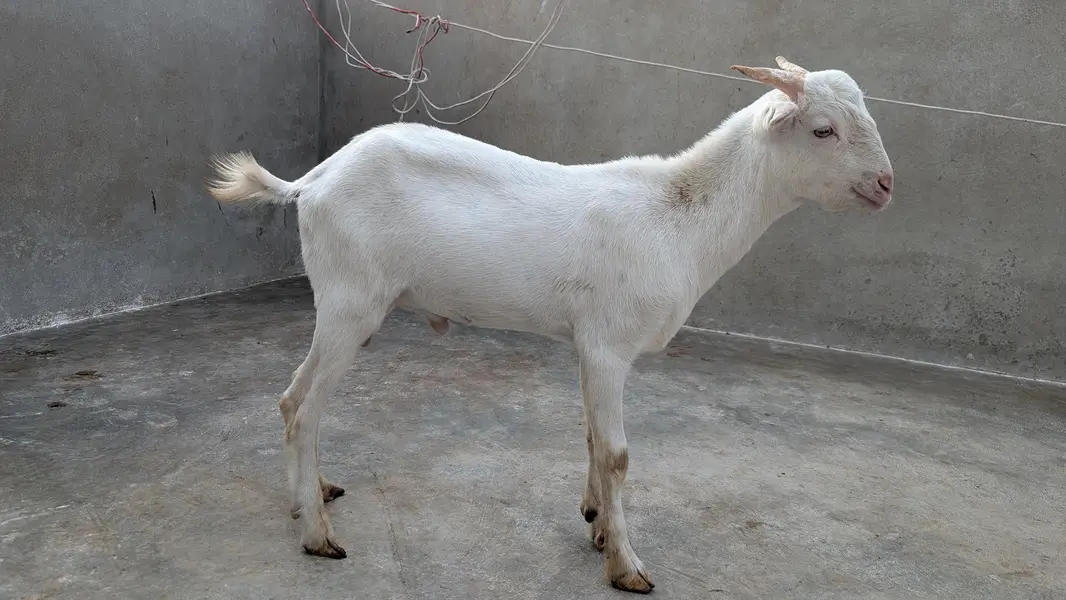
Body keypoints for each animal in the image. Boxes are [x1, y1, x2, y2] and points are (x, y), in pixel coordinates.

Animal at [206, 57, 894, 593]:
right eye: (824, 129)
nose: (886, 185)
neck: (679, 217)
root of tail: (314, 179)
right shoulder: (609, 345)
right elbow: (616, 454)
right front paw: (627, 566)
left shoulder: (588, 346)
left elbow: (591, 439)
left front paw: (597, 524)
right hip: (351, 301)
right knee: (304, 408)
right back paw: (318, 536)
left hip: (346, 306)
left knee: (295, 399)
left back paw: (310, 495)